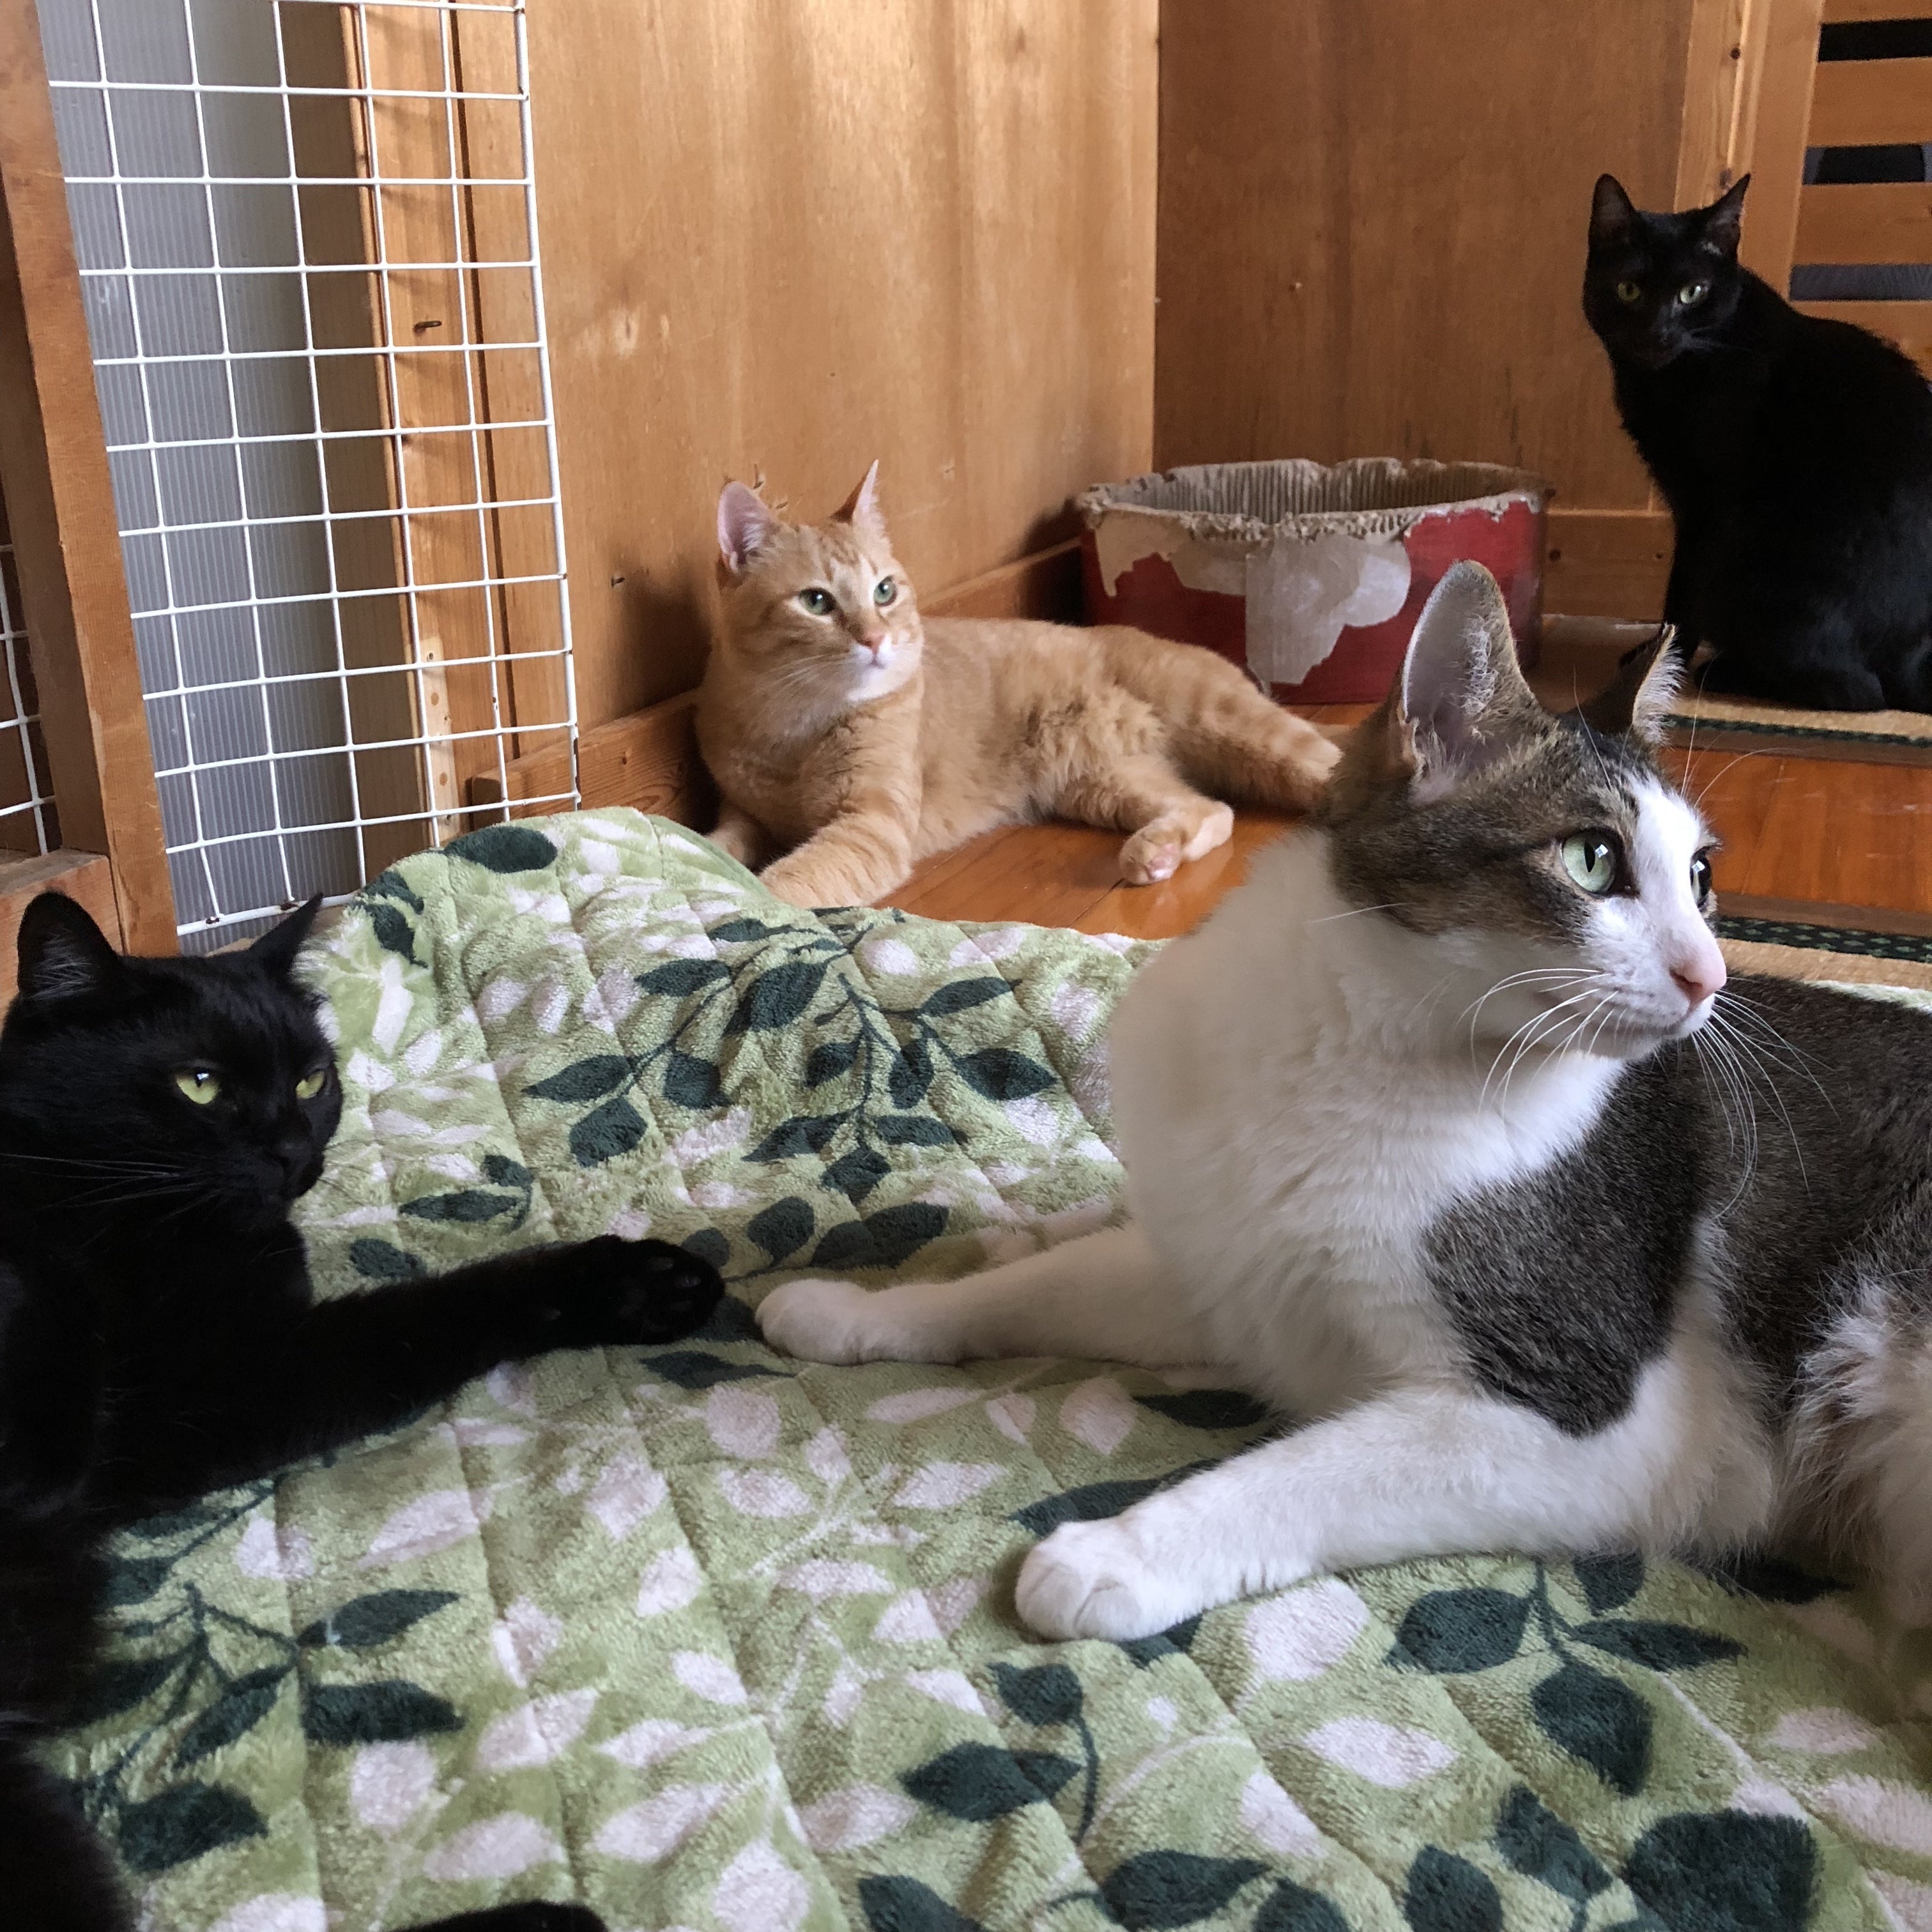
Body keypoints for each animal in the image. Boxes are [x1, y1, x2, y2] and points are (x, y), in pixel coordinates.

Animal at [0, 893, 723, 1932]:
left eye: (311, 1079)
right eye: (200, 1085)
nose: (293, 1152)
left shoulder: (223, 1398)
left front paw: (641, 1286)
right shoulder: (214, 1365)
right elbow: (434, 1307)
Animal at [697, 464, 1340, 907]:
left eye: (885, 591)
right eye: (816, 602)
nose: (876, 639)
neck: (794, 728)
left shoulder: (868, 828)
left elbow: (784, 882)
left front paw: (736, 907)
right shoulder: (743, 813)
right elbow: (716, 842)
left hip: (1243, 732)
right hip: (1106, 783)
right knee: (1212, 809)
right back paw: (1158, 854)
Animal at [756, 560, 1932, 1641]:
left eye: (1699, 878)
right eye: (1594, 860)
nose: (1709, 977)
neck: (1353, 1046)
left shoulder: (1592, 1421)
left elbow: (1301, 1471)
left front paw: (1113, 1553)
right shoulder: (1221, 1269)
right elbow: (1031, 1282)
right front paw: (858, 1310)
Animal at [1584, 172, 1932, 712]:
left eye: (1693, 292)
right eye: (1629, 290)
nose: (1657, 333)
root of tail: (1916, 657)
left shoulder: (1705, 507)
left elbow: (1681, 594)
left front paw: (1662, 662)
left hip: (1753, 555)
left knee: (1858, 692)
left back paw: (1724, 672)